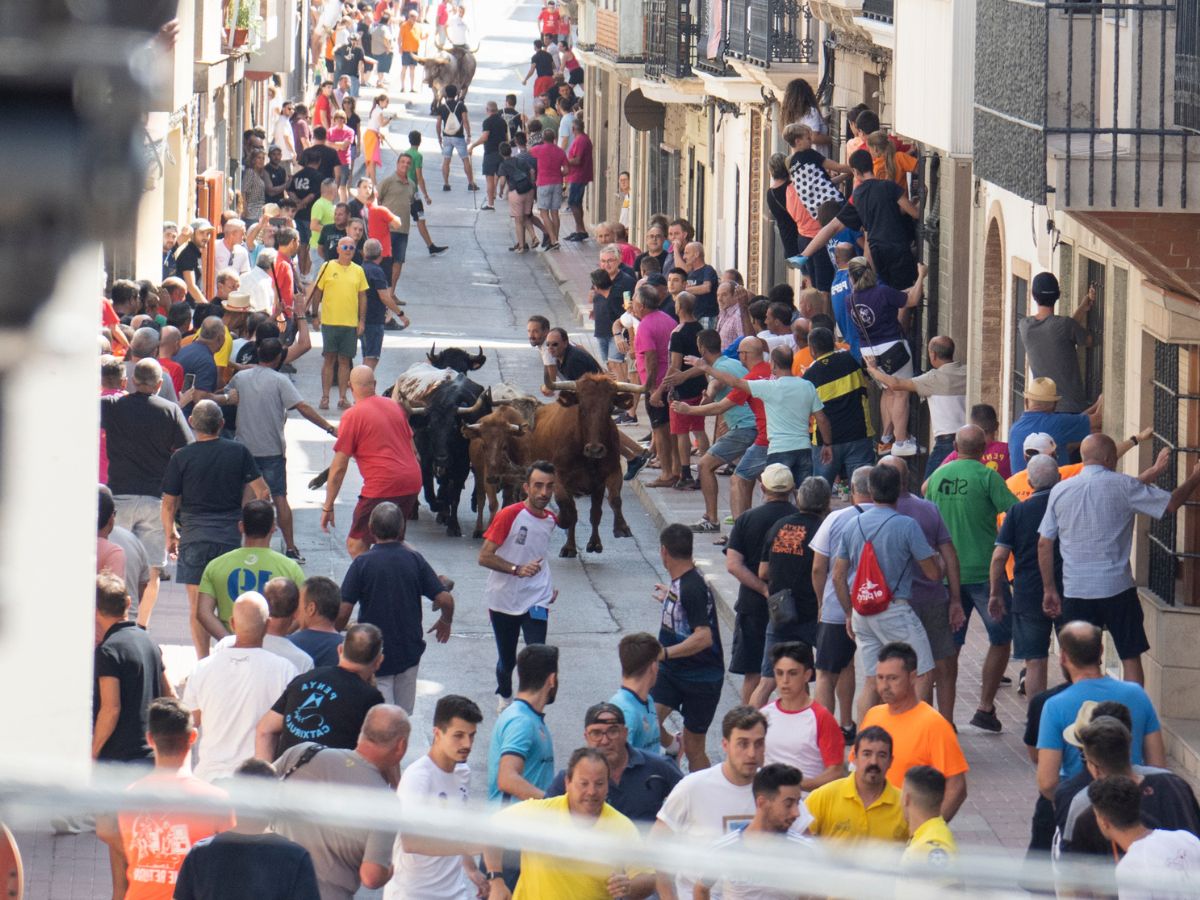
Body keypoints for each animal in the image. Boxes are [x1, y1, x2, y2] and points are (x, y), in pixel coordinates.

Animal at [520, 374, 643, 556]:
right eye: (582, 408)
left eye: (610, 408)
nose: (595, 449)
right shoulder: (559, 477)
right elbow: (567, 506)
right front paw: (563, 522)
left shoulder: (611, 473)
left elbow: (611, 502)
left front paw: (619, 528)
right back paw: (569, 547)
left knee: (594, 513)